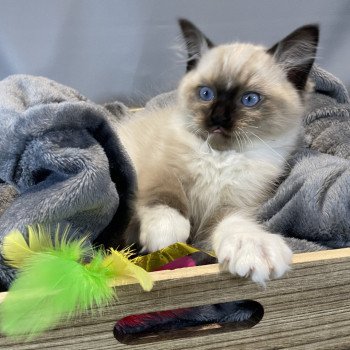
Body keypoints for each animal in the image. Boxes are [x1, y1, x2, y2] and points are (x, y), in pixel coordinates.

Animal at [116, 19, 318, 284]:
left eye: (249, 99)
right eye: (206, 94)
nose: (217, 118)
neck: (221, 157)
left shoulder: (234, 205)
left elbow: (235, 224)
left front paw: (254, 249)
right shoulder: (160, 168)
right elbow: (164, 196)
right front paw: (167, 234)